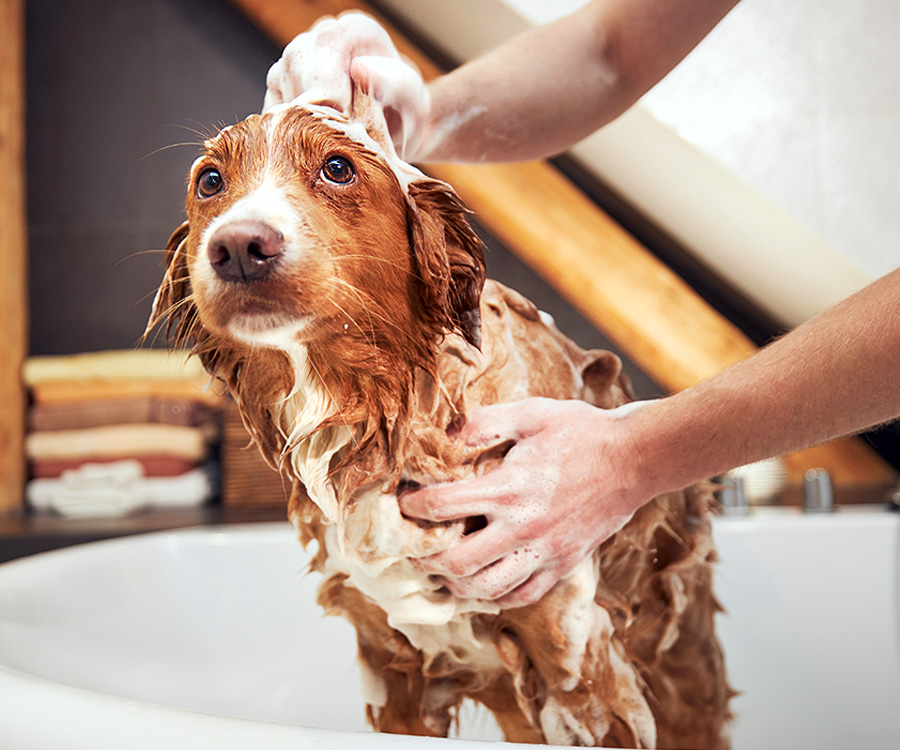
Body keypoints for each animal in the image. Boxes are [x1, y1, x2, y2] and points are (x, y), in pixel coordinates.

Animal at [148, 86, 736, 748]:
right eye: (210, 180)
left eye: (337, 168)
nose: (238, 247)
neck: (380, 416)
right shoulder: (393, 669)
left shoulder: (577, 665)